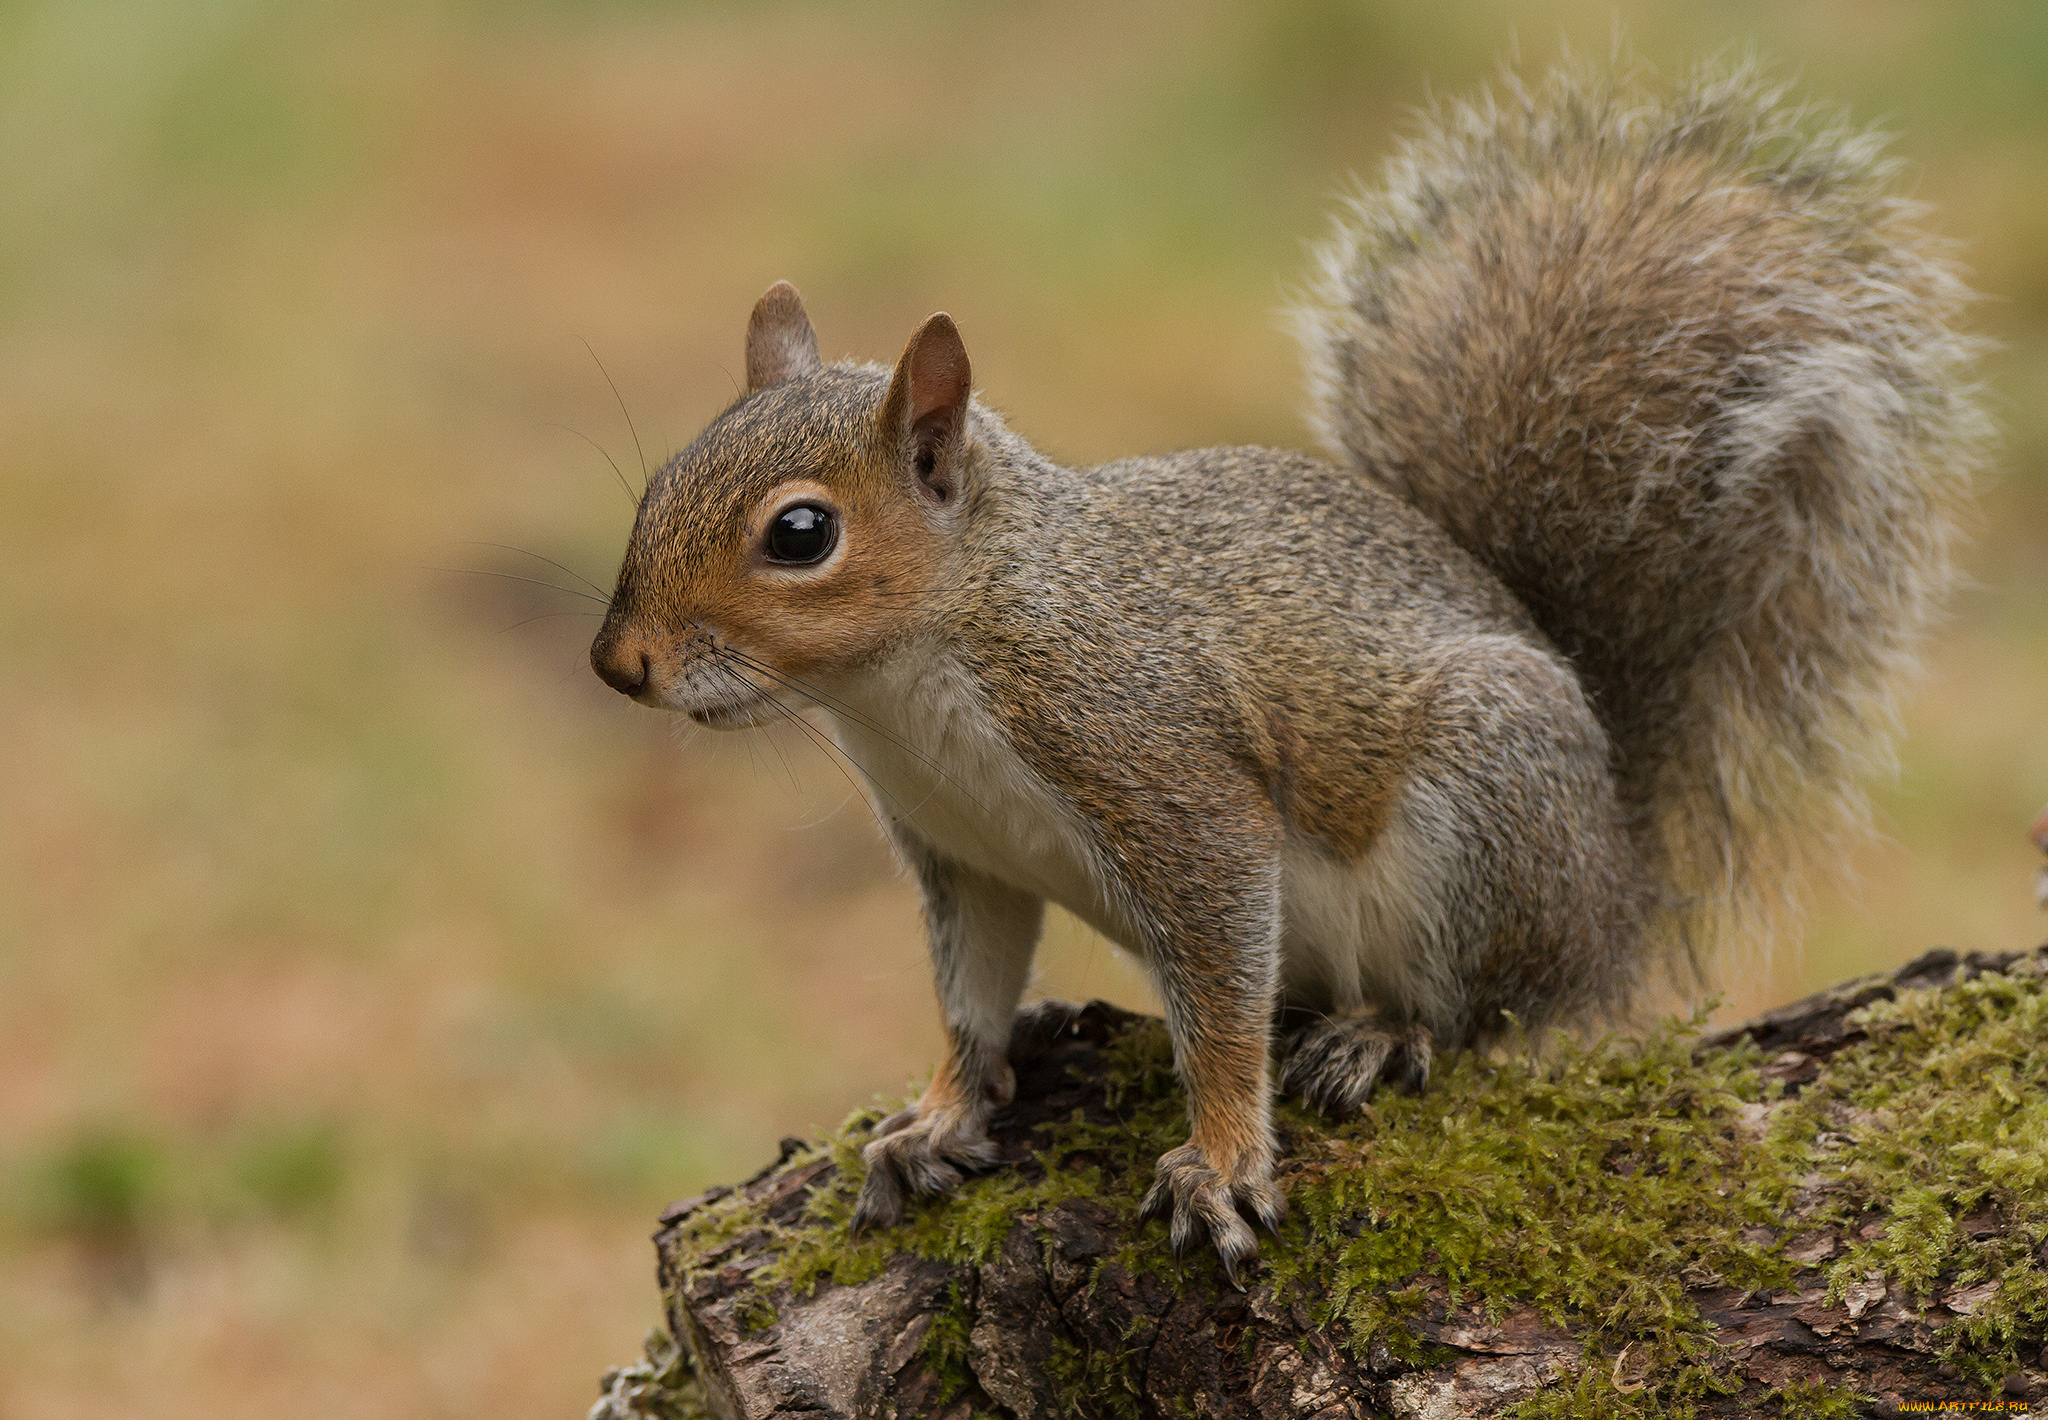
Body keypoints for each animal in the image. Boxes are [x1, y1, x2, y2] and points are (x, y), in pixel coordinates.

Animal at [589, 60, 1982, 1270]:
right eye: (659, 482)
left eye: (800, 534)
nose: (618, 664)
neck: (915, 681)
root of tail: (1616, 884)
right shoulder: (962, 853)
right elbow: (969, 991)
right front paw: (939, 1114)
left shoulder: (1163, 774)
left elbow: (1218, 999)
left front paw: (1218, 1160)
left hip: (1483, 802)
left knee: (1480, 1010)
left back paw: (1379, 1038)